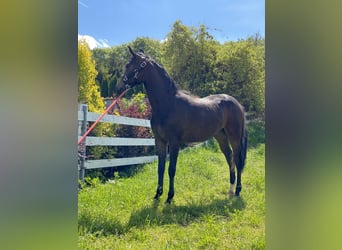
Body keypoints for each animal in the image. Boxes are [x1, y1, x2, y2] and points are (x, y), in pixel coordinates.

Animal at [117, 46, 246, 203]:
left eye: (128, 65)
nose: (118, 87)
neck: (167, 104)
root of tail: (237, 103)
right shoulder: (160, 141)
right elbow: (160, 168)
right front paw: (157, 194)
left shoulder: (174, 142)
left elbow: (171, 169)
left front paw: (169, 197)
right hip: (220, 137)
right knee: (229, 157)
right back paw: (231, 188)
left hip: (234, 137)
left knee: (238, 160)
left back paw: (238, 190)